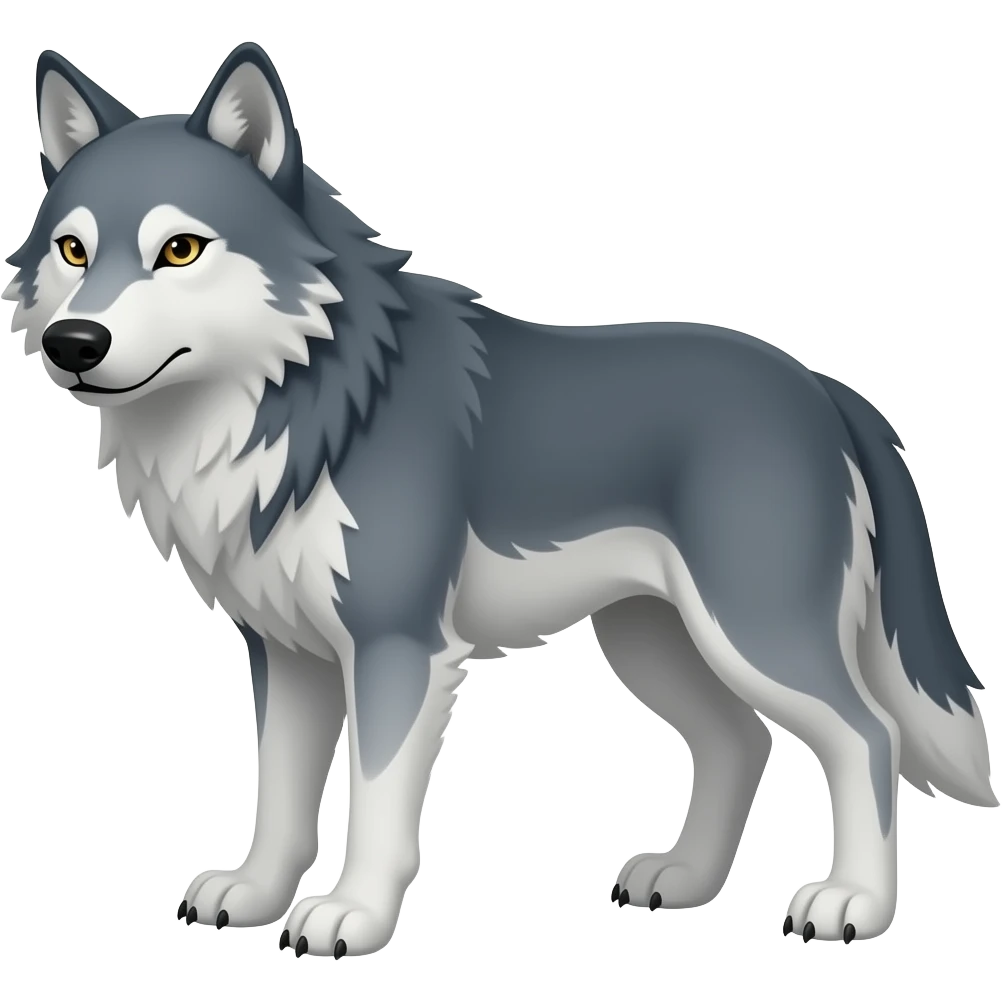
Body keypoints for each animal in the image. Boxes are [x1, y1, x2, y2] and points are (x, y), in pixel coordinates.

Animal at [5, 43, 995, 959]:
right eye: (72, 250)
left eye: (179, 249)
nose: (73, 343)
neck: (298, 398)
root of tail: (824, 387)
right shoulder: (286, 652)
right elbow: (279, 797)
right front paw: (253, 897)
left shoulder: (396, 646)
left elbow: (374, 801)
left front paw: (351, 916)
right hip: (653, 641)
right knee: (739, 742)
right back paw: (683, 879)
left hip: (752, 634)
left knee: (866, 736)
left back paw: (851, 904)